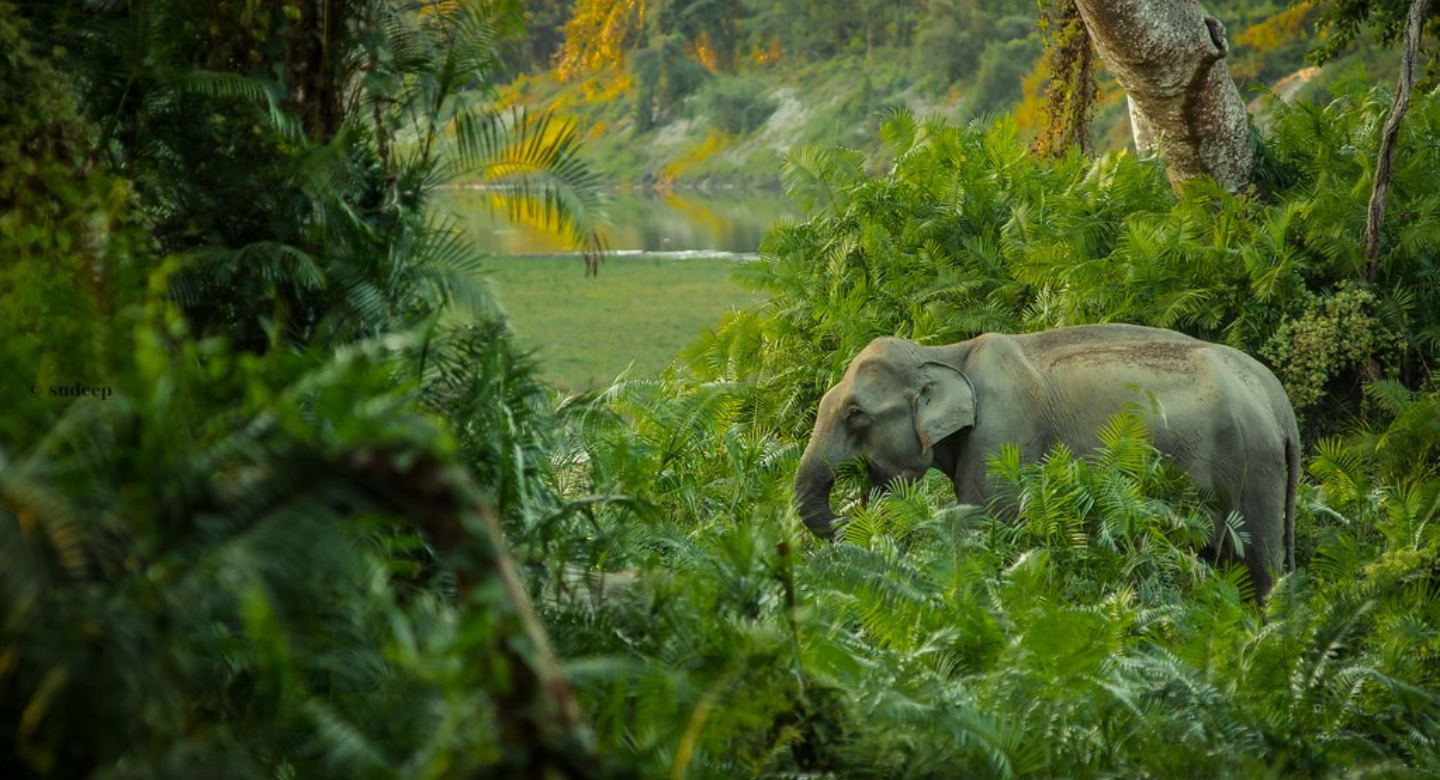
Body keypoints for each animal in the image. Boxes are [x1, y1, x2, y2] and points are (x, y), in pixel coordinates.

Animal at [794, 326, 1301, 601]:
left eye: (855, 413)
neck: (944, 352)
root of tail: (1281, 404)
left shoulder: (1003, 436)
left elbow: (985, 529)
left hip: (1255, 471)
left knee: (1257, 571)